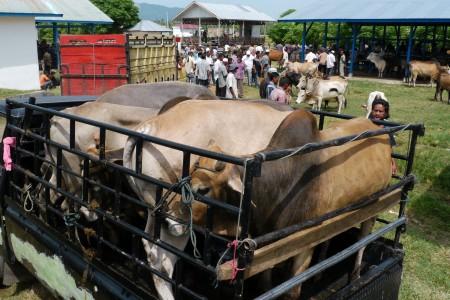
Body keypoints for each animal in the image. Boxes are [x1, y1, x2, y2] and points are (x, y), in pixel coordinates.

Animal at [188, 111, 392, 298]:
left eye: (203, 190)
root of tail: (376, 128)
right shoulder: (268, 240)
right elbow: (265, 282)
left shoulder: (305, 242)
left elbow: (293, 291)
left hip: (373, 209)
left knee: (362, 240)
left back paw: (355, 273)